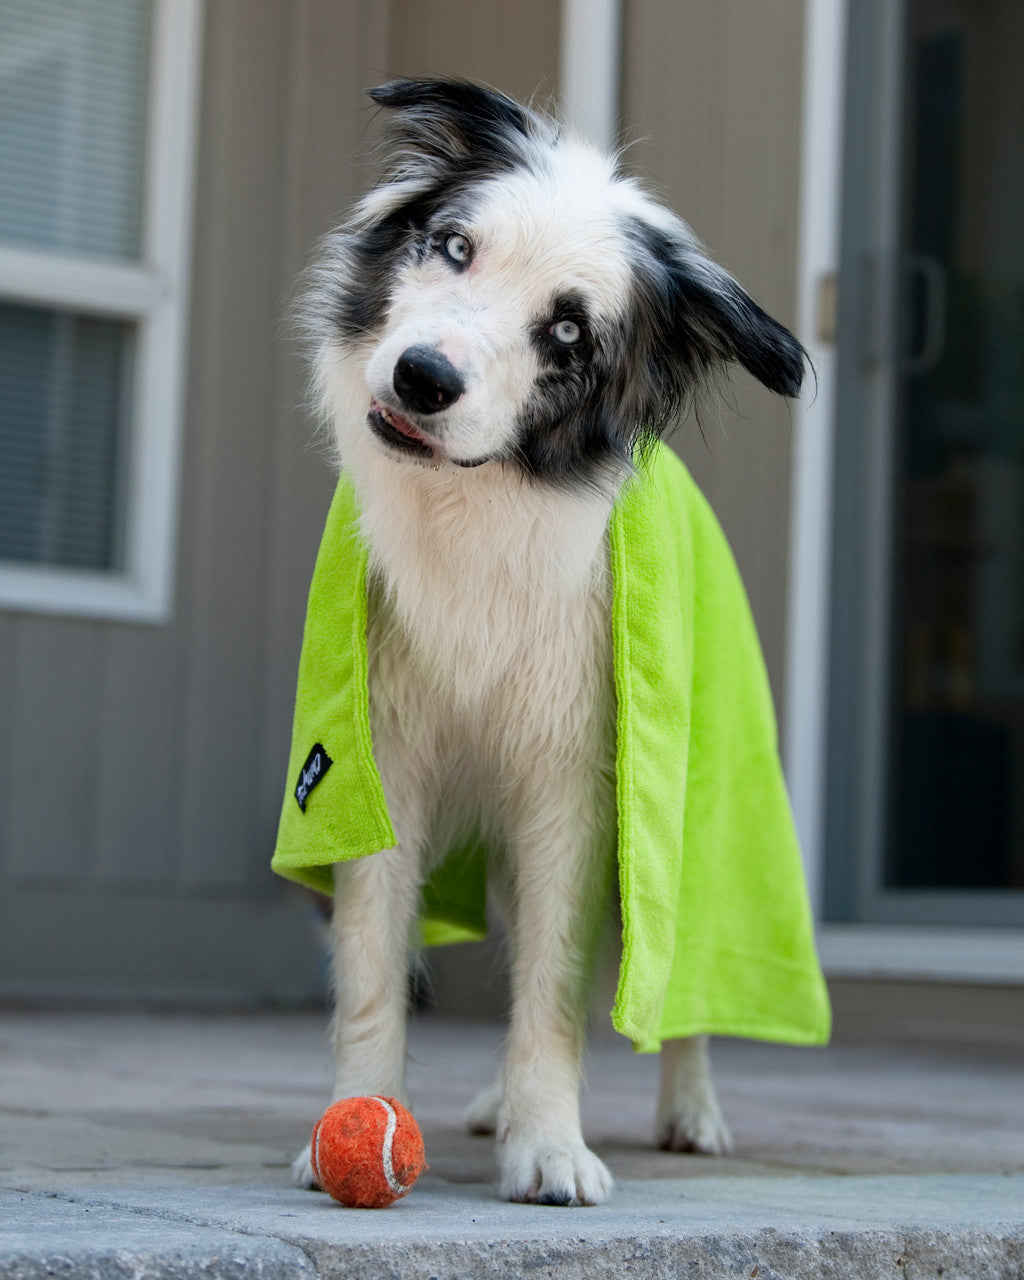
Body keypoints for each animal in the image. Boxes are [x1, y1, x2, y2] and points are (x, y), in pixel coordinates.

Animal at [288, 77, 808, 1198]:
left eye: (568, 333)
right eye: (452, 245)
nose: (422, 376)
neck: (477, 506)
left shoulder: (578, 785)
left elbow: (560, 982)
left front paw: (550, 1146)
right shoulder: (376, 762)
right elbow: (373, 967)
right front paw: (356, 1119)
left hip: (695, 810)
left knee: (682, 981)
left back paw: (690, 1111)